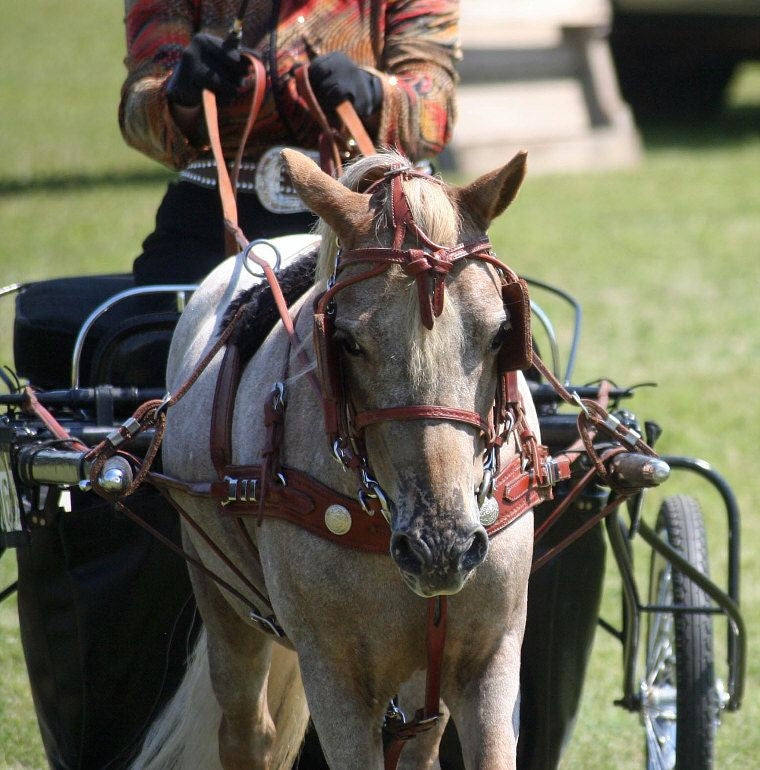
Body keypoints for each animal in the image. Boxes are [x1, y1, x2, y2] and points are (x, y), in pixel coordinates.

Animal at [133, 147, 546, 770]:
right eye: (348, 342)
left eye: (501, 333)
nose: (441, 547)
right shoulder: (336, 680)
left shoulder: (489, 662)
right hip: (221, 597)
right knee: (246, 730)